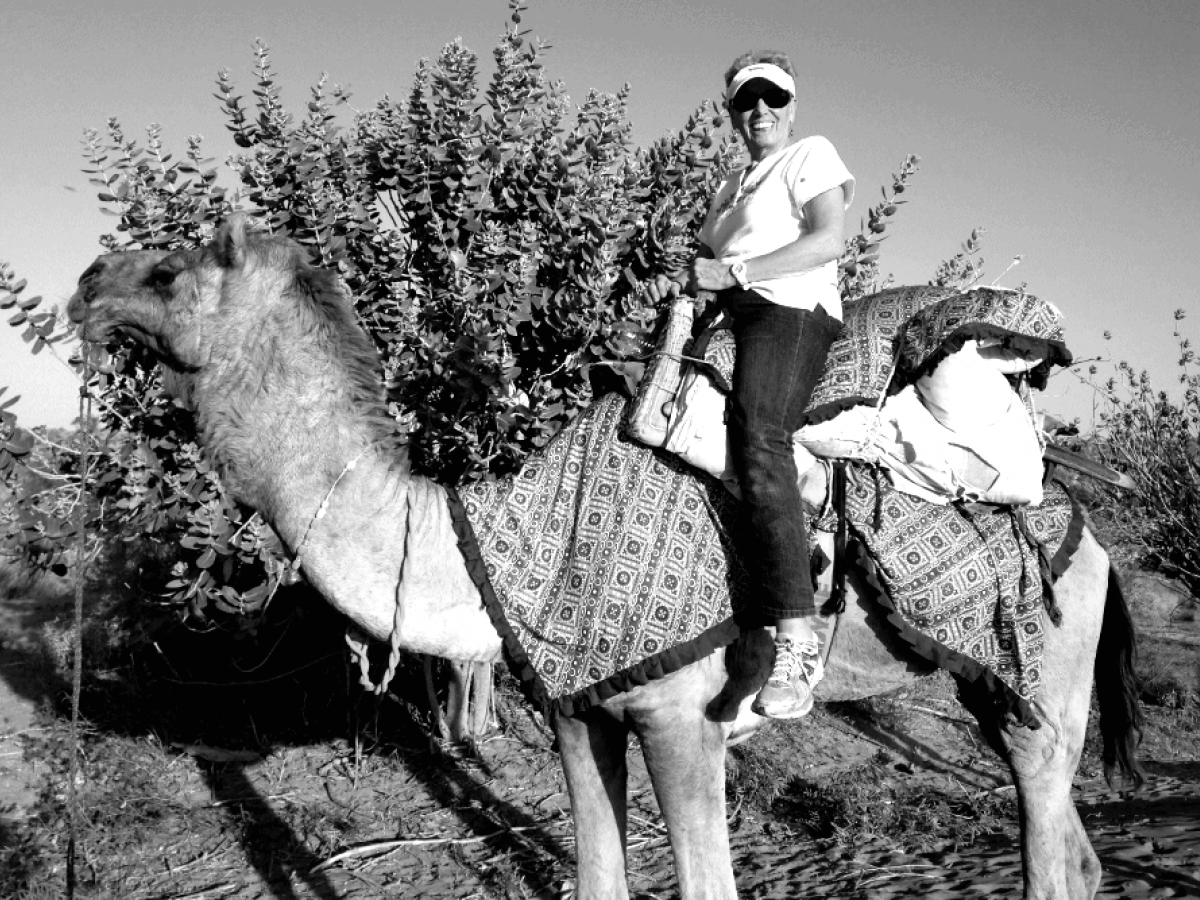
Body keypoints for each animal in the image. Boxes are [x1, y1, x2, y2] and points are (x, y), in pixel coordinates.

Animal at [68, 218, 1142, 900]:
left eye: (167, 276)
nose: (87, 280)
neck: (499, 546)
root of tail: (1095, 534)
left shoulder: (682, 718)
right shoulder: (582, 712)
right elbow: (598, 878)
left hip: (1047, 660)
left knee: (1049, 843)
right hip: (996, 686)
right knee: (1073, 850)